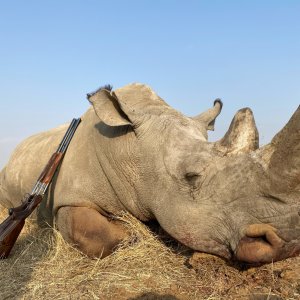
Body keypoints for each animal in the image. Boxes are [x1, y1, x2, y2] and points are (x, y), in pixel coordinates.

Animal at [0, 82, 300, 262]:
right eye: (191, 177)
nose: (288, 244)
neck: (128, 150)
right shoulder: (68, 200)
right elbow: (98, 235)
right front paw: (134, 231)